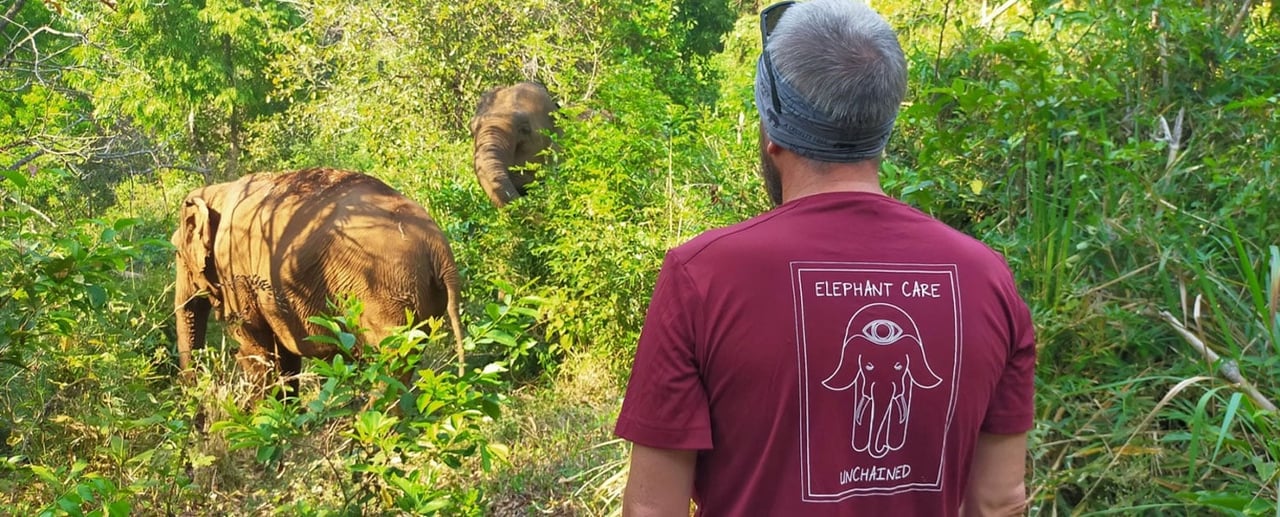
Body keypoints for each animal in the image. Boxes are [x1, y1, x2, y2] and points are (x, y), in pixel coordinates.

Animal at [172, 167, 465, 394]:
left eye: (176, 251)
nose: (199, 422)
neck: (218, 191)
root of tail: (438, 246)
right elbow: (285, 357)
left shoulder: (235, 272)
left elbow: (254, 348)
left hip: (384, 293)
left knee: (392, 358)